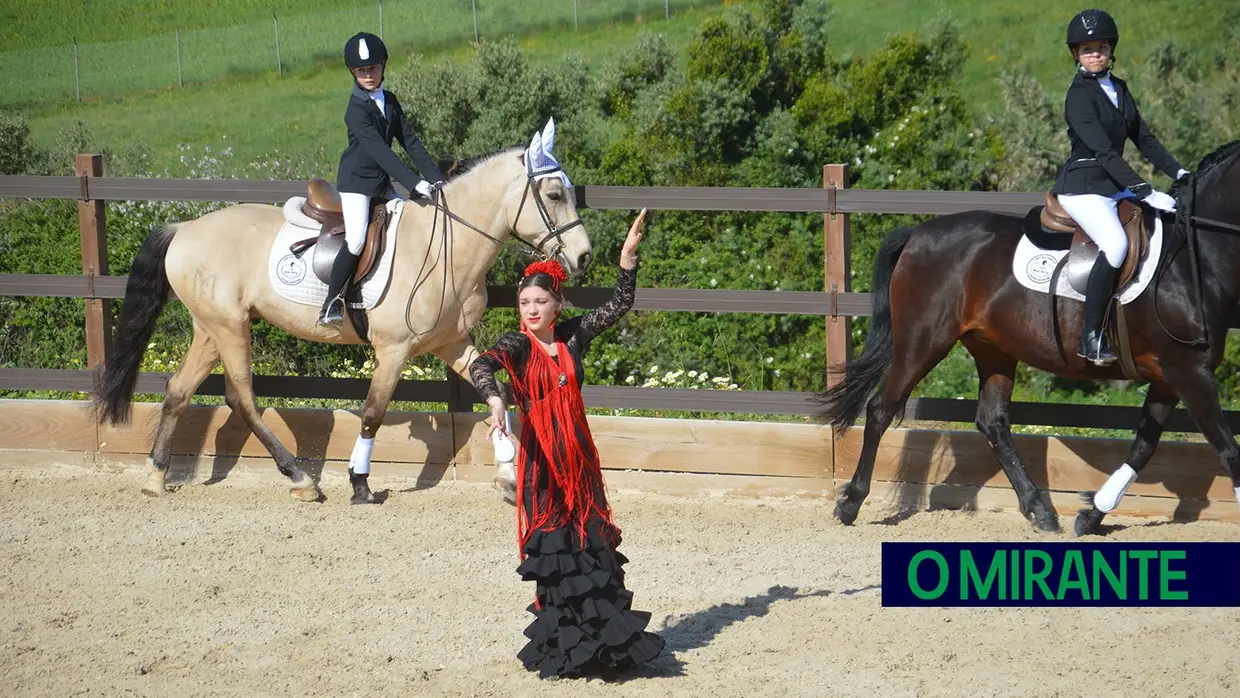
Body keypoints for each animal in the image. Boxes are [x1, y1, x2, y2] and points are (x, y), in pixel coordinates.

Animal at [89, 122, 592, 505]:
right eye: (553, 195)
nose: (584, 257)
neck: (445, 247)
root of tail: (186, 228)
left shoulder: (451, 344)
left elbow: (498, 397)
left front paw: (508, 477)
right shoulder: (394, 351)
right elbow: (372, 413)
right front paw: (360, 483)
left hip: (211, 329)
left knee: (179, 391)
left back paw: (156, 477)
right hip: (230, 328)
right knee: (243, 400)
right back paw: (301, 480)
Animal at [813, 140, 1240, 535]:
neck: (1192, 260)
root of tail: (919, 233)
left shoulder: (1171, 376)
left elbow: (1144, 446)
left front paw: (1091, 514)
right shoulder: (1188, 371)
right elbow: (1229, 451)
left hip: (994, 350)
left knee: (993, 422)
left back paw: (1040, 510)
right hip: (923, 341)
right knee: (881, 409)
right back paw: (850, 503)